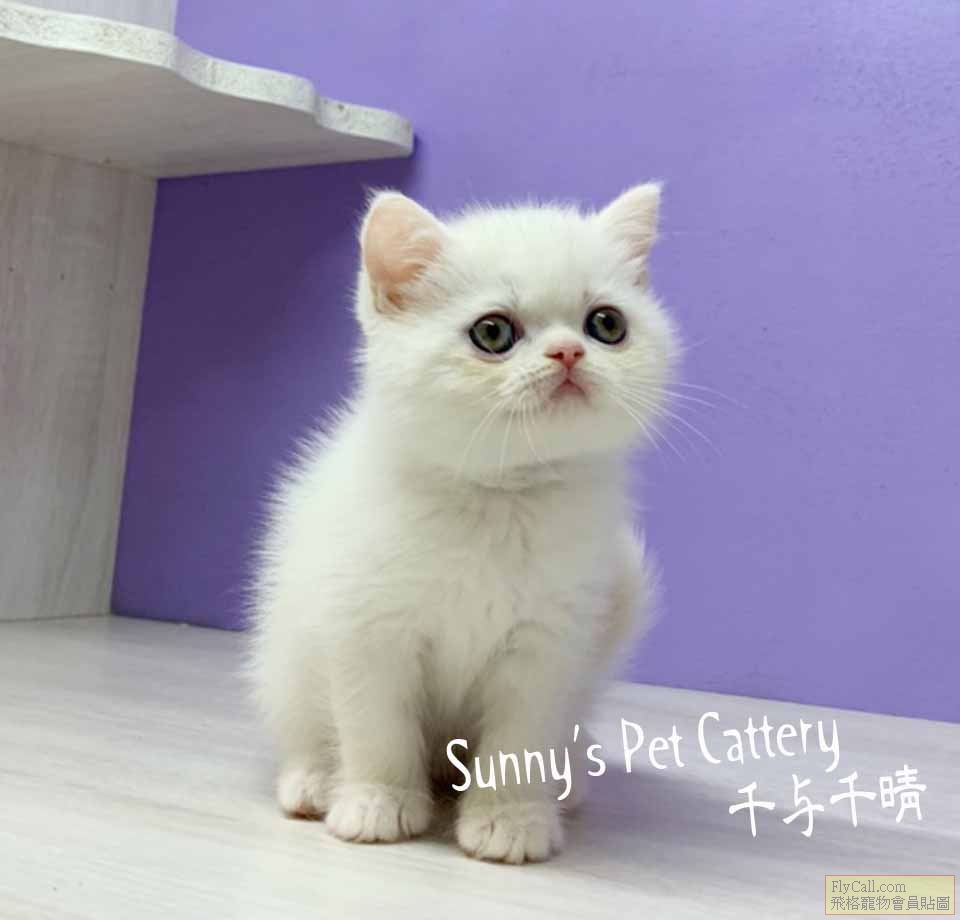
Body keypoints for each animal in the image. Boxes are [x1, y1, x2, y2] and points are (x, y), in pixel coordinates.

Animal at [250, 183, 680, 864]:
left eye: (607, 324)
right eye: (493, 332)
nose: (568, 352)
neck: (499, 499)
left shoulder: (548, 643)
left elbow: (521, 738)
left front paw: (509, 820)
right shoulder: (366, 626)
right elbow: (376, 725)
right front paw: (375, 803)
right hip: (285, 644)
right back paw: (315, 780)